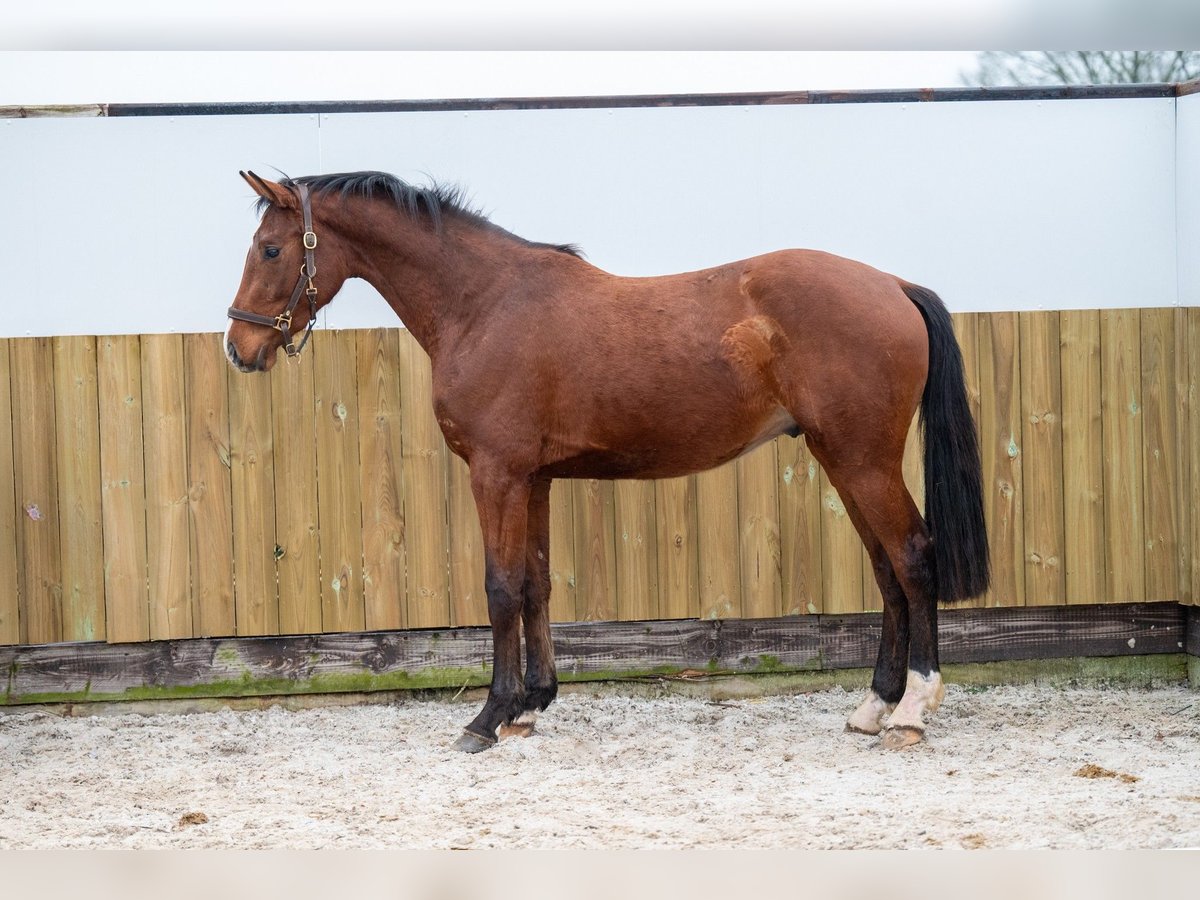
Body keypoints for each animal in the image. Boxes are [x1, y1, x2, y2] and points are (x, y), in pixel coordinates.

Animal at [223, 169, 984, 753]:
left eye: (270, 249)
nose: (239, 347)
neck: (485, 303)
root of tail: (893, 285)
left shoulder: (495, 473)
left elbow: (501, 589)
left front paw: (486, 718)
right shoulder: (531, 479)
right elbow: (534, 585)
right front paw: (530, 706)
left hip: (865, 461)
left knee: (914, 556)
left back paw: (913, 711)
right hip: (841, 458)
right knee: (887, 569)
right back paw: (874, 706)